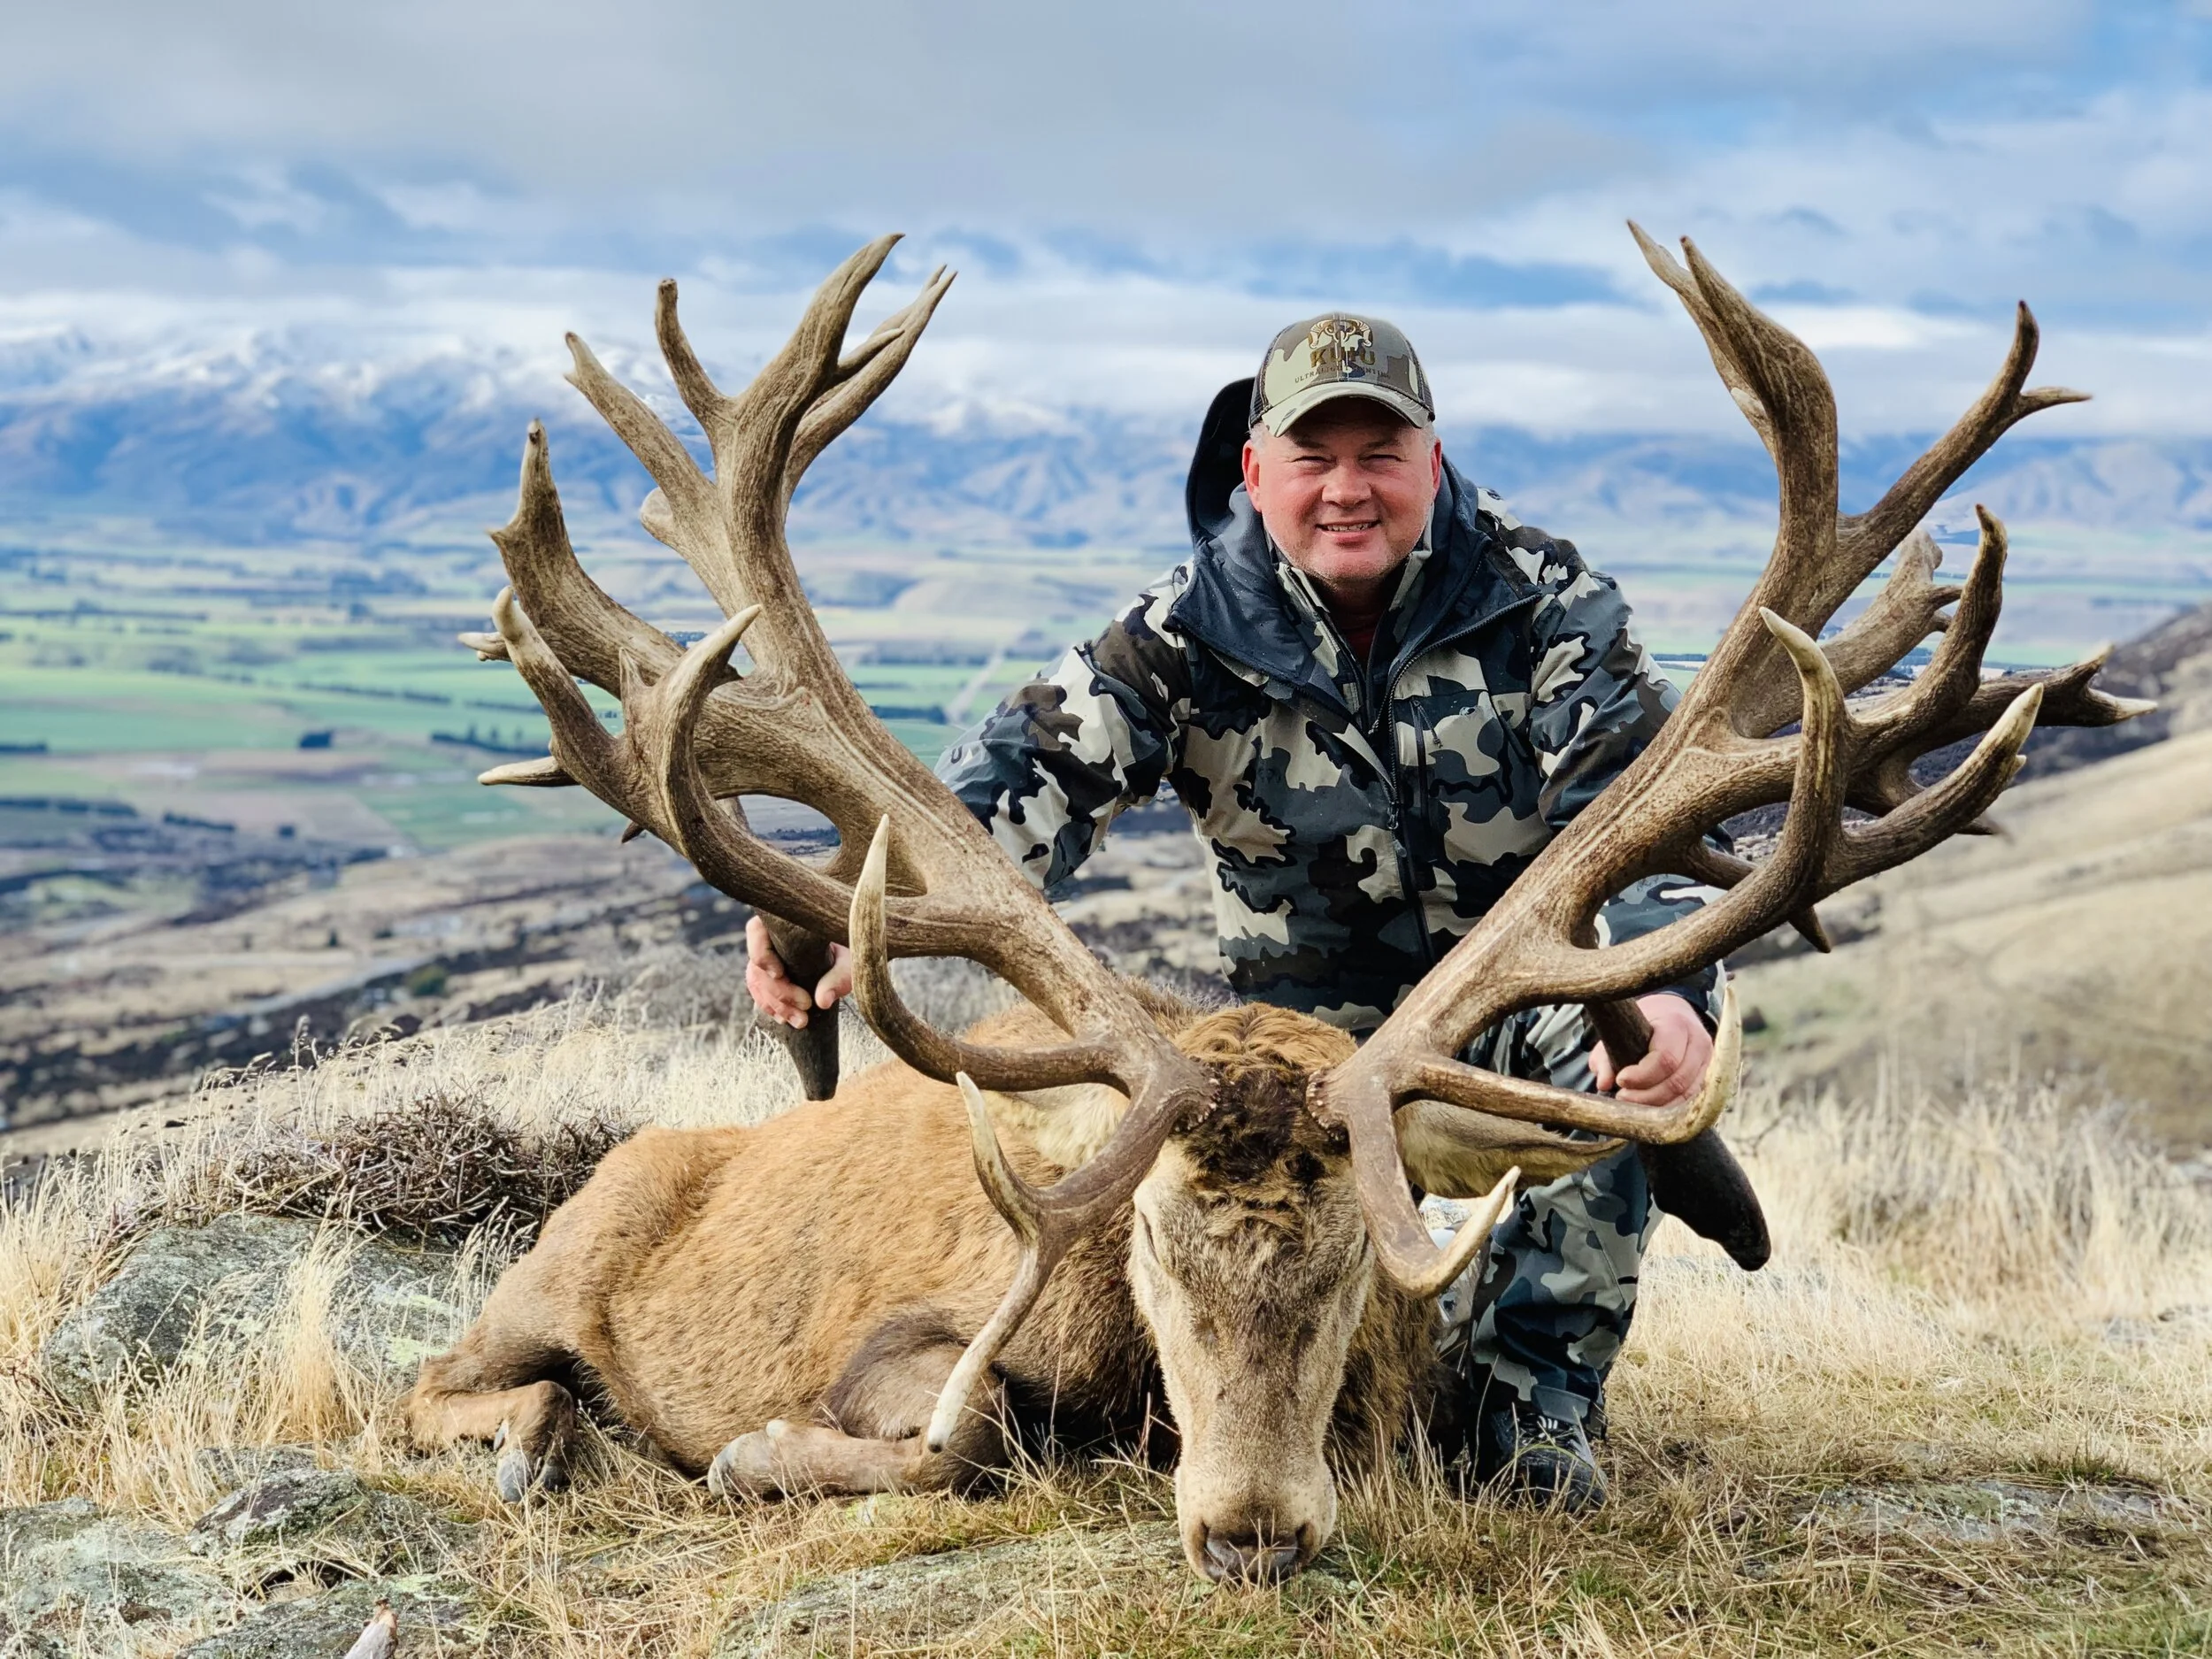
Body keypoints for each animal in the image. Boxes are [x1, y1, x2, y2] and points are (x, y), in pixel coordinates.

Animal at [402, 228, 2148, 1583]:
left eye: (1364, 1264)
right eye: (1150, 1253)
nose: (1250, 1530)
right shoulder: (922, 1333)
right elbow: (962, 1434)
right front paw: (758, 1447)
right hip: (551, 1263)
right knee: (448, 1378)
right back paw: (535, 1439)